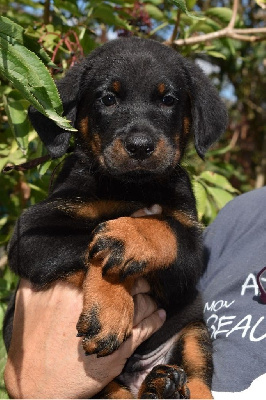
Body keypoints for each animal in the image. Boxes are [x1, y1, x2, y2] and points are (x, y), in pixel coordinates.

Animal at [5, 36, 227, 396]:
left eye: (168, 100)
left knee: (196, 374)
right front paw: (109, 308)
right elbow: (87, 242)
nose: (140, 146)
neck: (130, 188)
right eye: (108, 99)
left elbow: (161, 227)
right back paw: (158, 383)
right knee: (113, 390)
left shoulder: (191, 248)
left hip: (193, 326)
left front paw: (126, 238)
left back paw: (166, 382)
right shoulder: (32, 234)